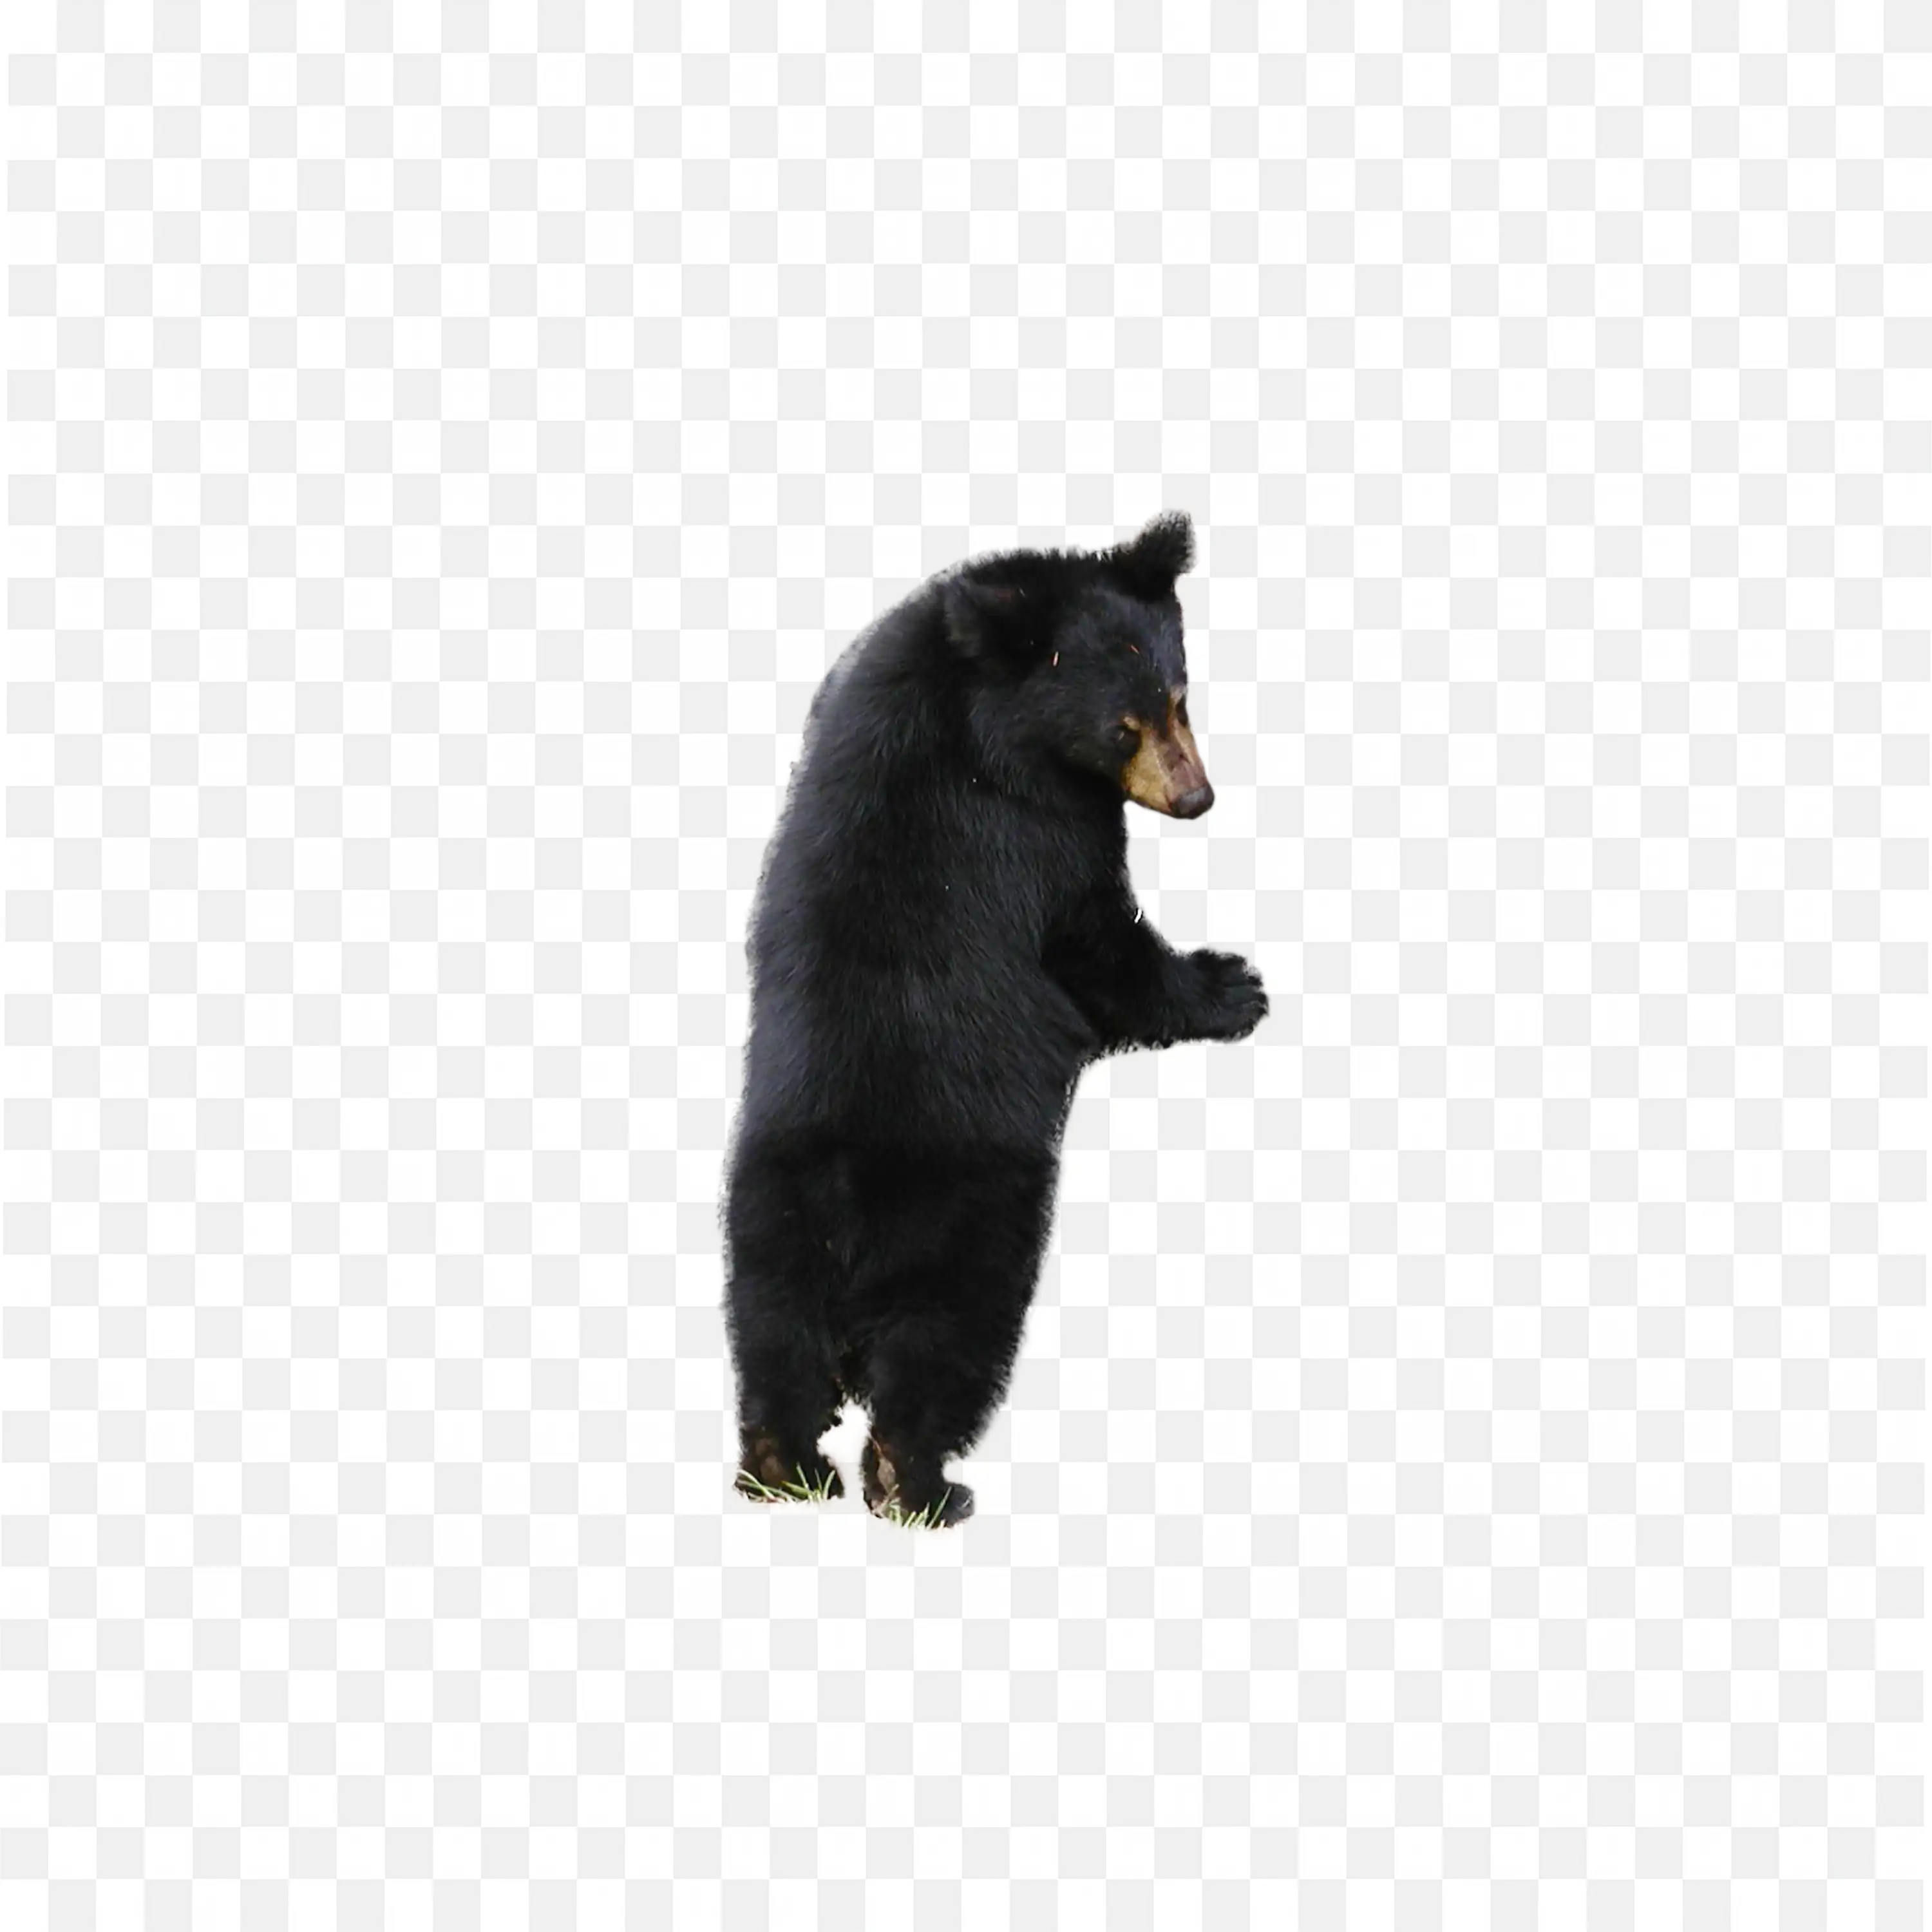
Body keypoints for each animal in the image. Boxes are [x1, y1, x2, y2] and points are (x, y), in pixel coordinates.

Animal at [718, 508, 1270, 1528]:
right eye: (1122, 727)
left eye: (1180, 696)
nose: (1197, 798)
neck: (973, 685)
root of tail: (849, 1220)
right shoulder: (1034, 825)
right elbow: (1102, 944)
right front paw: (1234, 982)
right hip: (973, 1225)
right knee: (942, 1355)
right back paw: (925, 1487)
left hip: (765, 1225)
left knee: (774, 1346)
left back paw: (783, 1469)